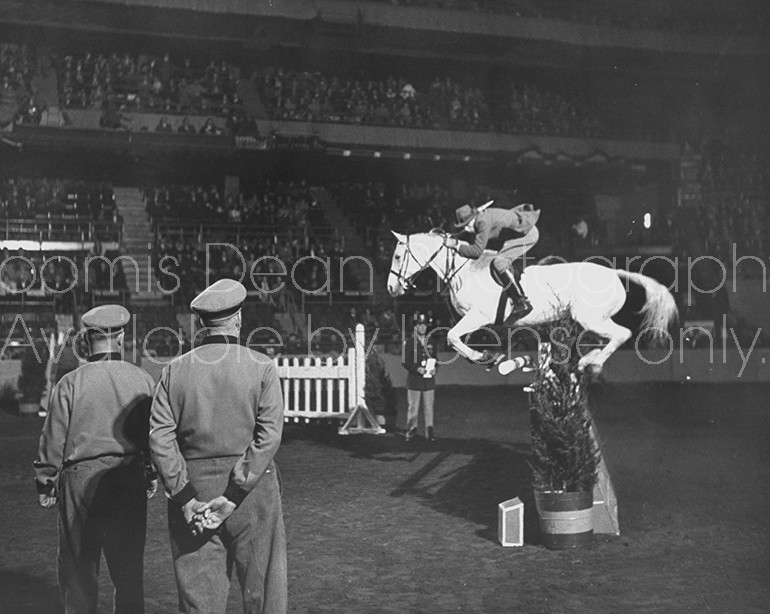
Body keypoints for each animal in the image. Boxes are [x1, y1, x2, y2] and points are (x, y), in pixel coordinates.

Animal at [388, 231, 676, 376]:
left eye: (398, 256)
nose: (392, 288)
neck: (465, 270)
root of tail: (615, 273)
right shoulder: (483, 322)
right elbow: (459, 339)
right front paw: (489, 358)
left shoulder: (479, 316)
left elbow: (452, 337)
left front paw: (483, 357)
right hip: (591, 321)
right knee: (606, 339)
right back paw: (587, 361)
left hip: (590, 318)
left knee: (622, 334)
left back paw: (590, 364)